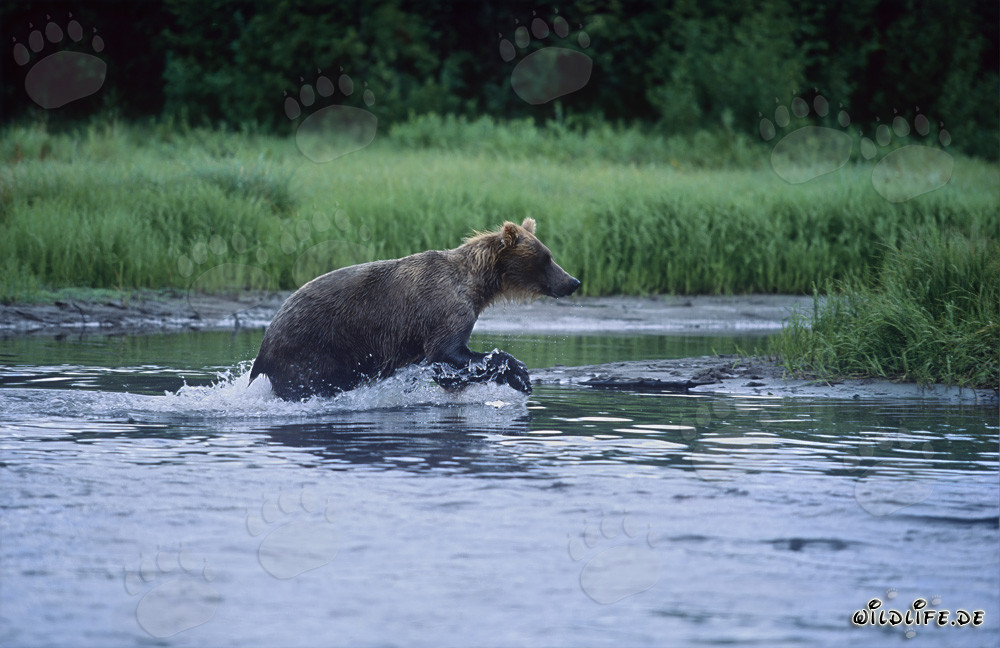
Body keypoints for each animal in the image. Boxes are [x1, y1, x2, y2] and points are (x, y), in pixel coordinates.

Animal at [248, 217, 580, 400]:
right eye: (547, 257)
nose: (573, 281)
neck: (477, 286)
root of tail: (264, 345)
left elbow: (447, 370)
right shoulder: (445, 310)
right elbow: (449, 353)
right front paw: (519, 375)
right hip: (311, 348)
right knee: (309, 384)